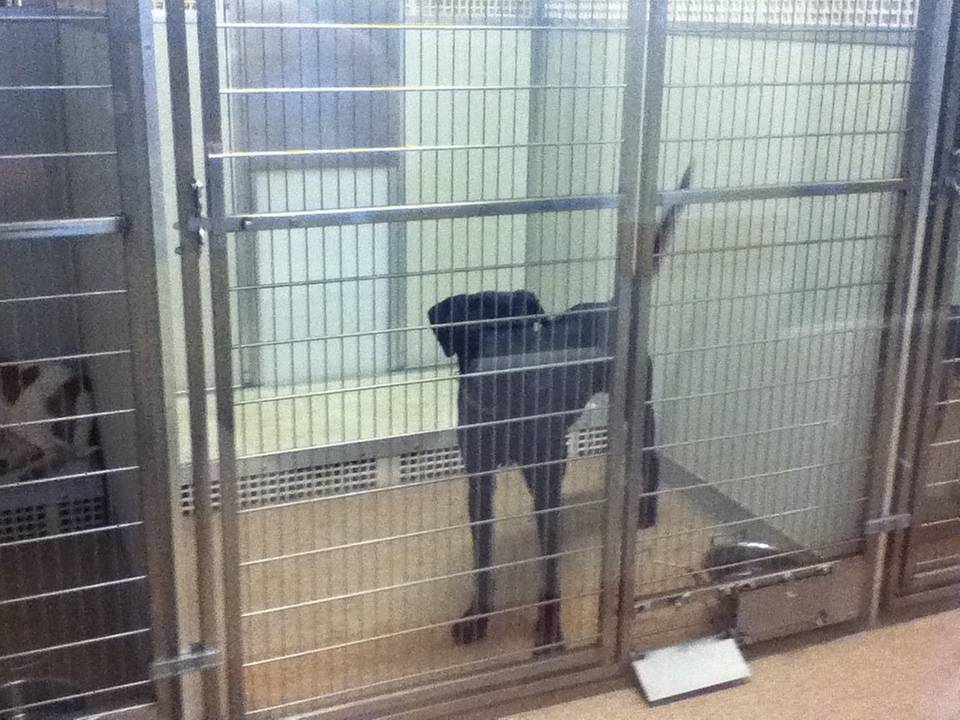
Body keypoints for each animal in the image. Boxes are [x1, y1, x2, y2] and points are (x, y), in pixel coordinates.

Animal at [427, 166, 692, 650]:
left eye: (524, 327)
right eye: (474, 332)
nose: (510, 370)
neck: (507, 409)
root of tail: (613, 302)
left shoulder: (546, 479)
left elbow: (550, 563)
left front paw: (550, 627)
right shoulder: (479, 480)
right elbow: (483, 557)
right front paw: (479, 614)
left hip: (637, 406)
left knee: (651, 457)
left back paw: (646, 512)